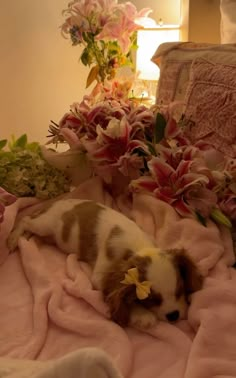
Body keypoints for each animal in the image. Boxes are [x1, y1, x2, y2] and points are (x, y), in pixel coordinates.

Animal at [7, 199, 203, 330]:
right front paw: (141, 314)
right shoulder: (101, 274)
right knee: (25, 219)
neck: (137, 246)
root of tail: (55, 201)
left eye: (180, 291)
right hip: (45, 224)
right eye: (151, 300)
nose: (174, 315)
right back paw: (13, 239)